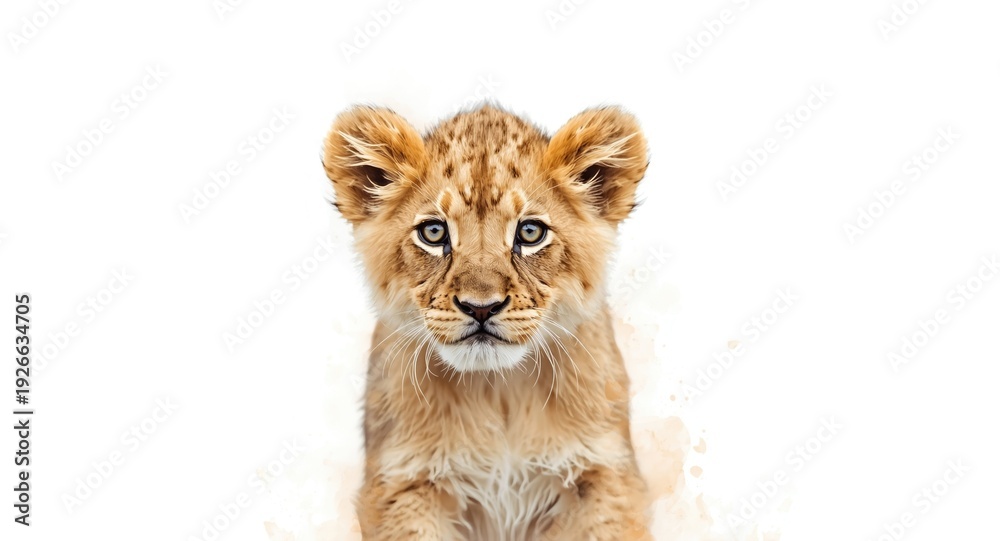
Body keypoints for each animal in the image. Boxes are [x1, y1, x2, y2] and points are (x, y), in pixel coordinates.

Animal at [322, 104, 652, 541]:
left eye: (530, 232)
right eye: (433, 232)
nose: (481, 307)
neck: (498, 390)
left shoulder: (602, 474)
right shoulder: (405, 482)